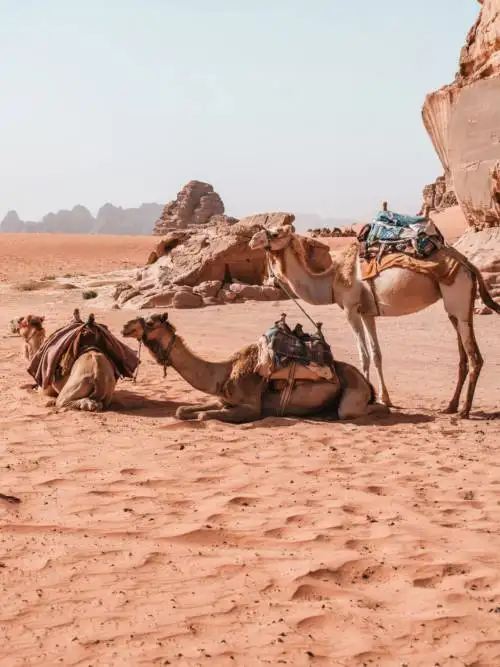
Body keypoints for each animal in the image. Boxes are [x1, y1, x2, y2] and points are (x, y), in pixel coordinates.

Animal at [121, 312, 389, 423]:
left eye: (150, 322)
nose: (125, 326)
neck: (223, 372)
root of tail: (366, 383)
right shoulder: (223, 400)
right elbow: (183, 410)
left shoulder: (251, 407)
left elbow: (203, 416)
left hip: (353, 394)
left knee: (357, 410)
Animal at [248, 221, 500, 419]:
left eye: (275, 233)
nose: (252, 240)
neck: (331, 280)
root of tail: (469, 265)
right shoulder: (367, 313)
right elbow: (377, 354)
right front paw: (385, 398)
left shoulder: (350, 309)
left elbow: (364, 356)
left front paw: (367, 397)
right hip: (455, 308)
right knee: (463, 355)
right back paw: (450, 406)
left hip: (458, 295)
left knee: (474, 356)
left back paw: (465, 410)